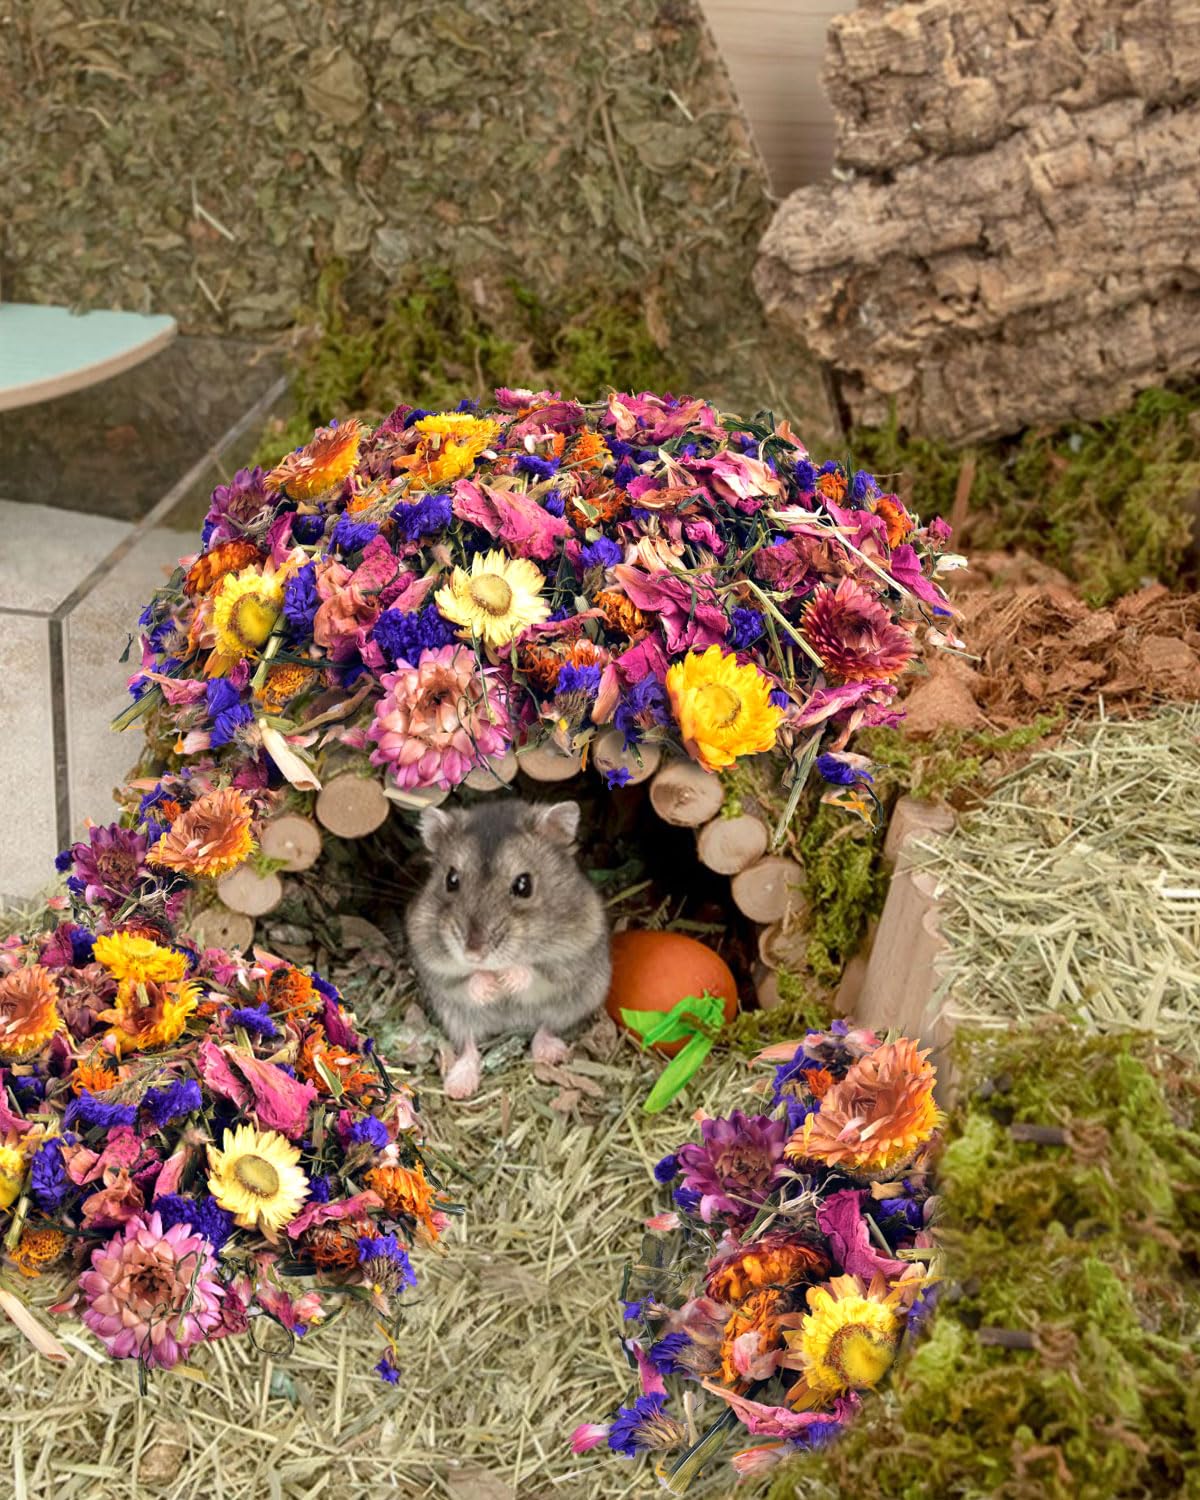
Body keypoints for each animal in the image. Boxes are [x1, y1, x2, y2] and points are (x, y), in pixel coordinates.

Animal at [405, 798, 611, 1099]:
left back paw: (551, 1053)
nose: (473, 954)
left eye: (524, 885)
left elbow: (535, 970)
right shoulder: (432, 963)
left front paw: (506, 980)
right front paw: (490, 986)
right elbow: (464, 979)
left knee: (546, 1026)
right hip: (455, 1016)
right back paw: (458, 1087)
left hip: (578, 1001)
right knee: (469, 1043)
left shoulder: (572, 954)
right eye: (451, 880)